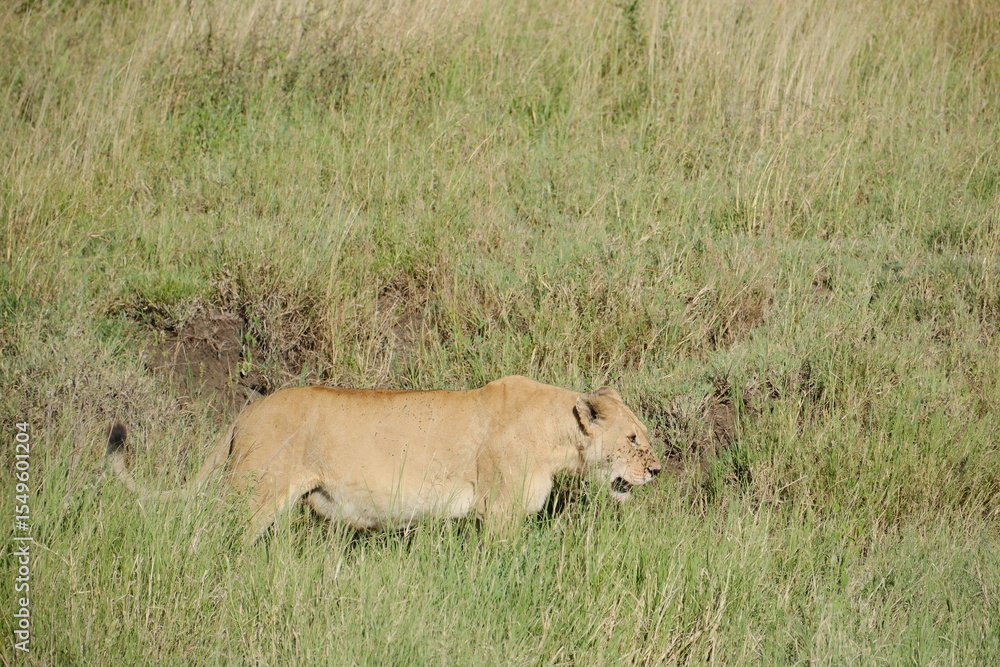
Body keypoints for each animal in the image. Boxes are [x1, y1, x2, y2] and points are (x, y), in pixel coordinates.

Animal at [106, 375, 662, 538]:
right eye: (635, 439)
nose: (657, 470)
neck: (556, 435)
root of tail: (249, 409)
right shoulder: (500, 513)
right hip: (255, 496)